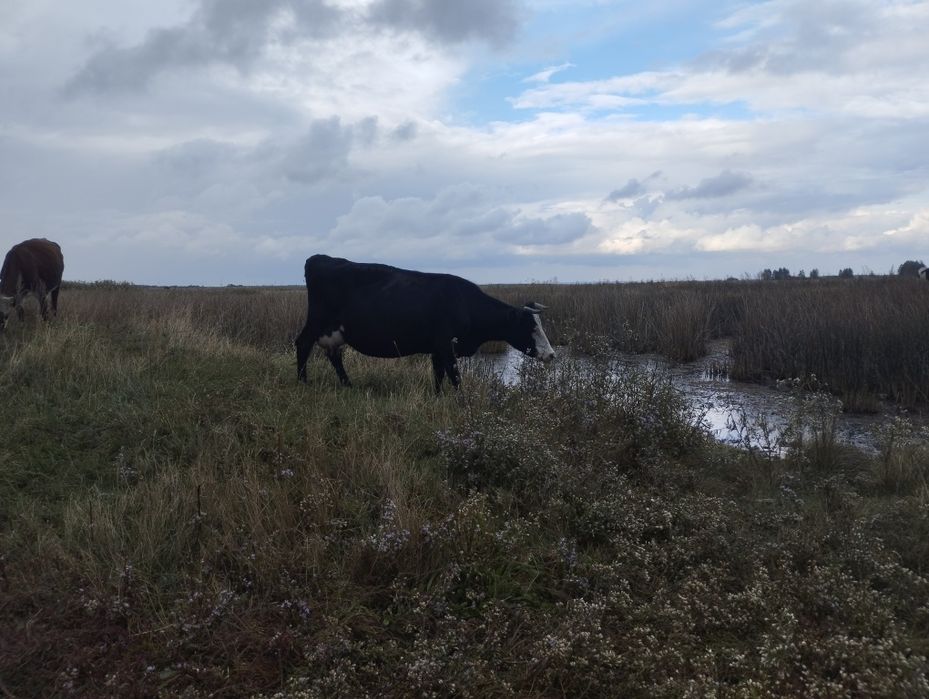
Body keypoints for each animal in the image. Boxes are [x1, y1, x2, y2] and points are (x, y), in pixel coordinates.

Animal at [295, 254, 556, 391]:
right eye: (531, 327)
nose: (552, 354)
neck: (464, 303)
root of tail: (320, 259)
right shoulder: (446, 346)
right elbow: (455, 377)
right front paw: (461, 402)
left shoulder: (437, 349)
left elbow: (439, 376)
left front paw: (438, 397)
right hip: (316, 322)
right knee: (302, 344)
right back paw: (303, 382)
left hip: (335, 332)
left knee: (334, 355)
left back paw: (348, 385)